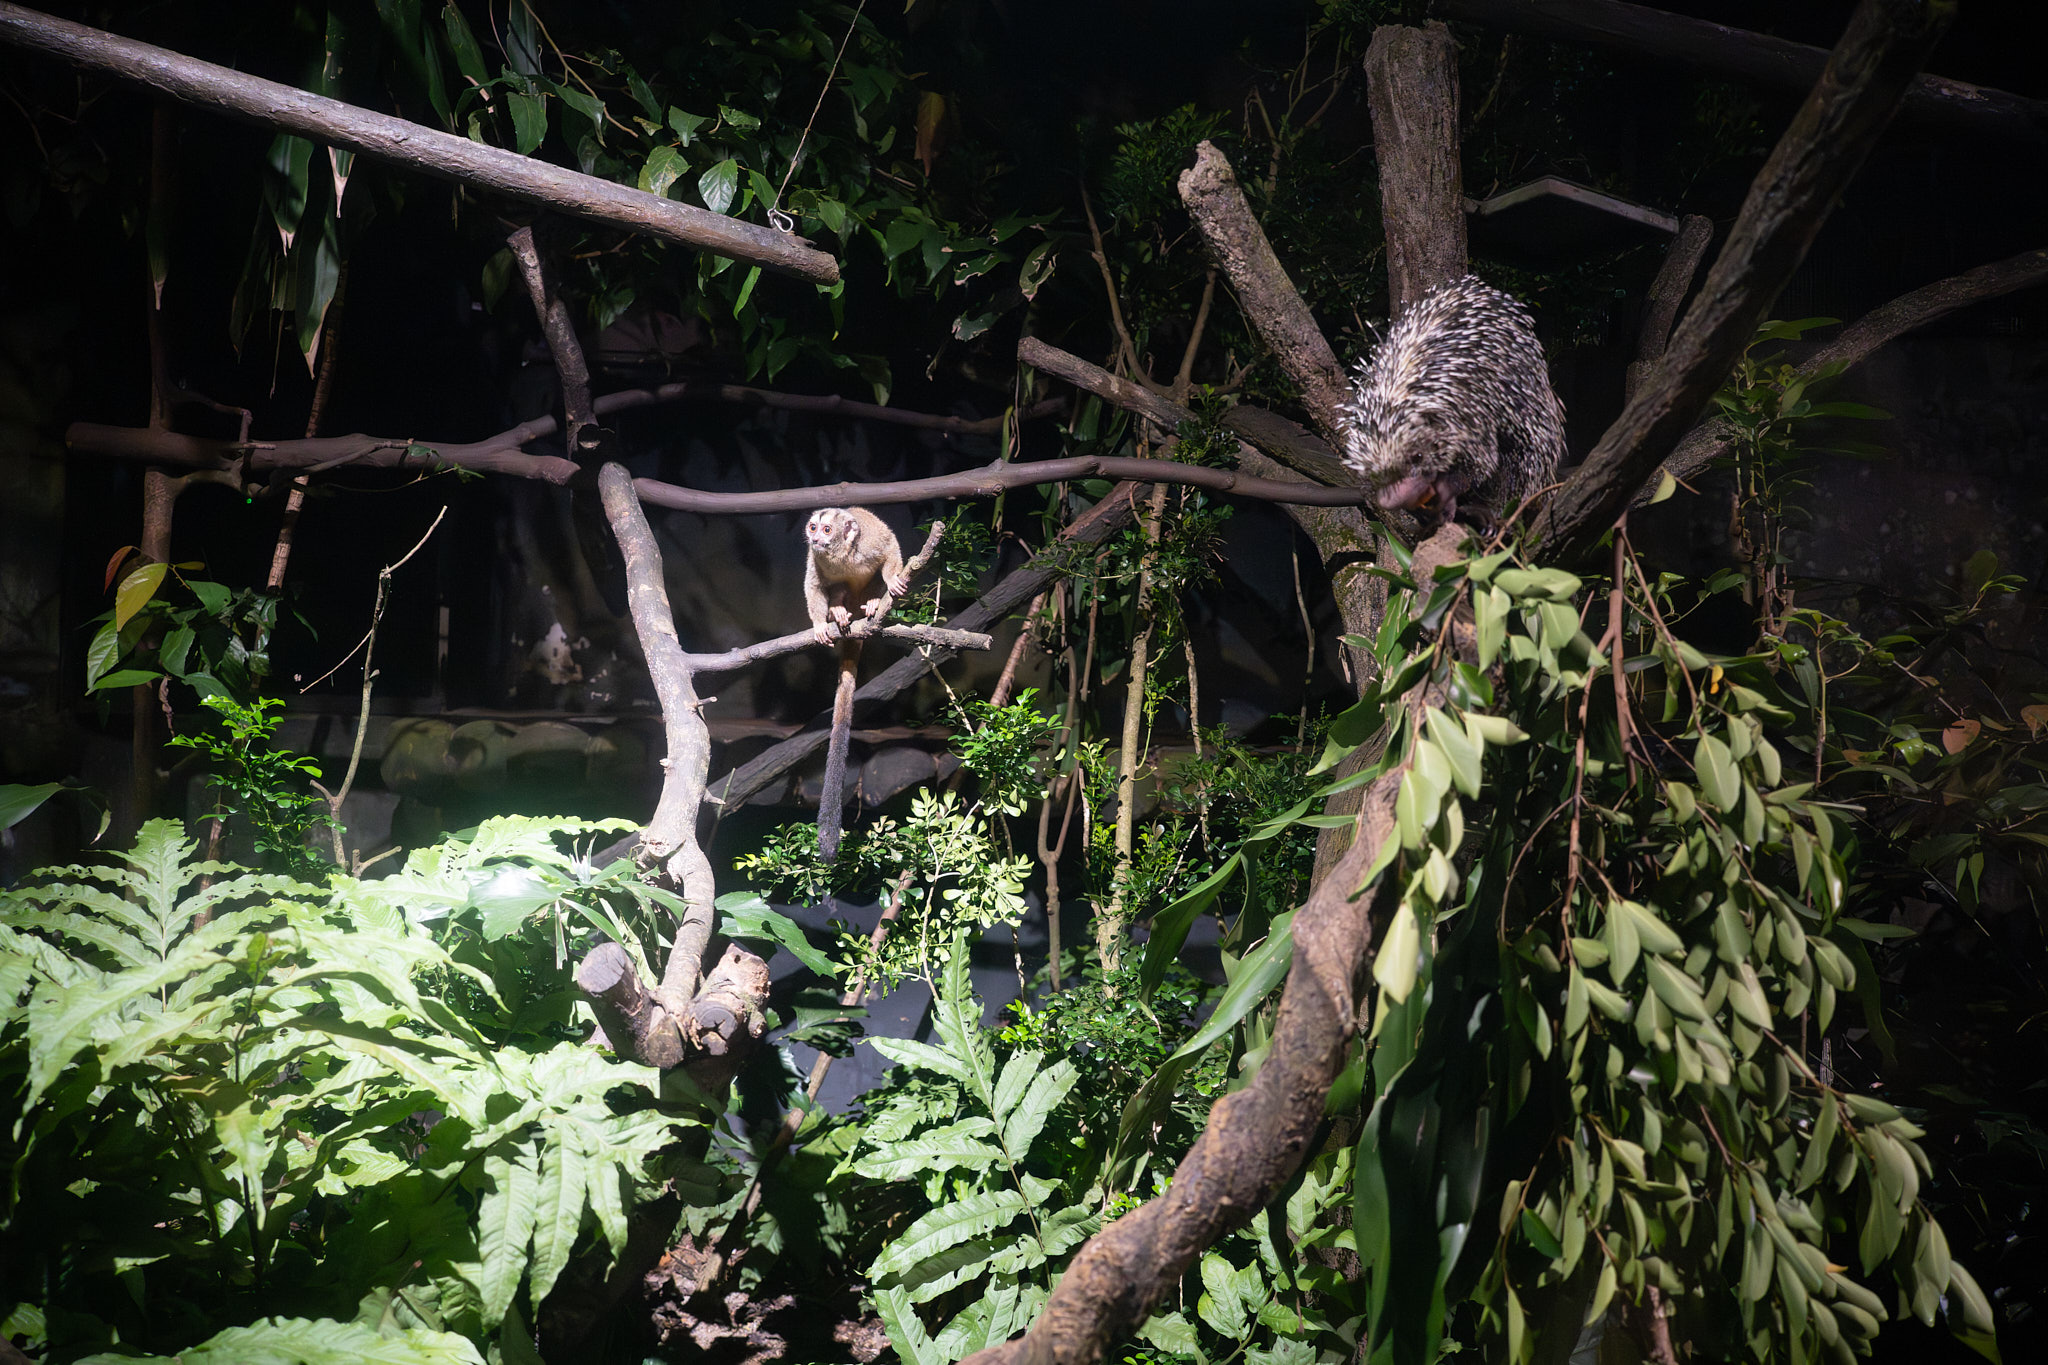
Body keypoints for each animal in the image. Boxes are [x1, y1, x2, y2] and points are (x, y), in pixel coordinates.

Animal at [803, 506, 909, 862]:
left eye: (826, 529)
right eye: (812, 528)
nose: (815, 538)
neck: (841, 553)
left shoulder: (872, 541)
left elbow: (890, 545)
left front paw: (893, 580)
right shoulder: (815, 558)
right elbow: (814, 586)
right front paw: (820, 623)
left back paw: (874, 605)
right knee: (835, 590)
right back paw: (837, 611)